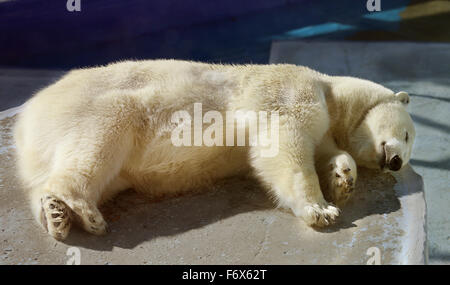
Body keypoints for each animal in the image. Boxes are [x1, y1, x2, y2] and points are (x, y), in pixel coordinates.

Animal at [13, 60, 414, 240]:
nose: (395, 162)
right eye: (409, 135)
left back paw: (55, 215)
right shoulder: (290, 92)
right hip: (93, 107)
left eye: (407, 151)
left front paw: (343, 179)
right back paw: (84, 212)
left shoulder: (327, 128)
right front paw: (321, 209)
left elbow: (328, 151)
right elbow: (284, 144)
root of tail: (26, 118)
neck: (331, 92)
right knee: (101, 138)